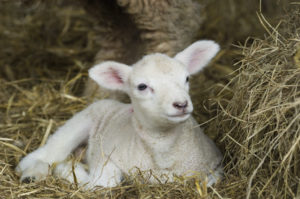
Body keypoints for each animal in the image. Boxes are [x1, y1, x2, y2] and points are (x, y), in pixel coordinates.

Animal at [16, 39, 223, 189]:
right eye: (142, 86)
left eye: (186, 78)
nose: (181, 104)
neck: (164, 153)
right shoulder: (106, 158)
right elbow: (104, 182)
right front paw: (67, 170)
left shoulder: (216, 164)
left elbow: (209, 179)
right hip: (80, 122)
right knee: (44, 154)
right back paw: (32, 174)